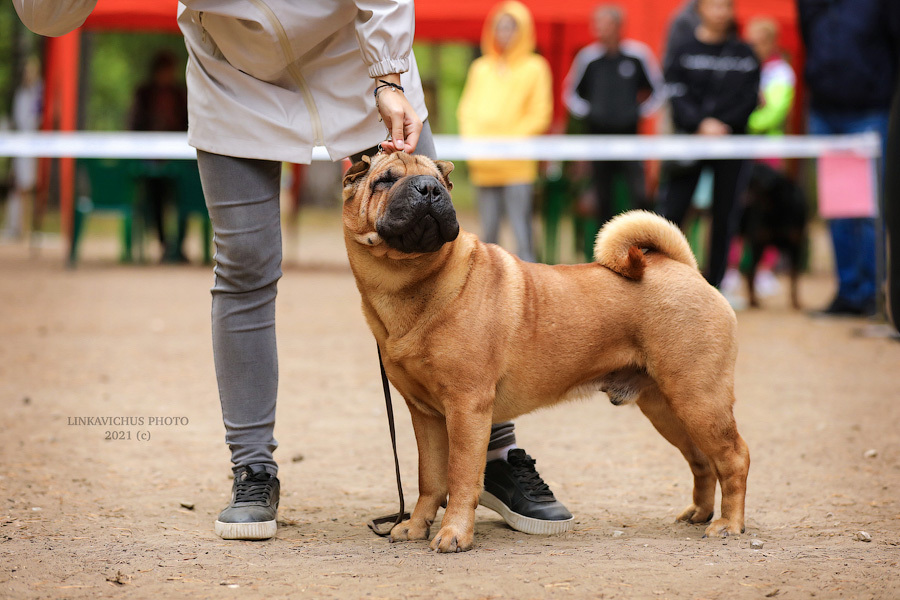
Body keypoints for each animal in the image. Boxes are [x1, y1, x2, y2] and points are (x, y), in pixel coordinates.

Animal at [342, 151, 748, 552]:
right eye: (385, 180)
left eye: (441, 183)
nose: (428, 188)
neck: (412, 280)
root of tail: (685, 268)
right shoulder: (425, 414)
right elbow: (430, 478)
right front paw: (415, 526)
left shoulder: (466, 406)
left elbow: (460, 476)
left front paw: (454, 533)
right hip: (668, 407)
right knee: (702, 461)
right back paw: (698, 513)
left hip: (698, 399)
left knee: (734, 458)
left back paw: (728, 525)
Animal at [740, 162, 808, 310]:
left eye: (751, 177)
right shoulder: (758, 242)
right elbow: (752, 273)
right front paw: (754, 300)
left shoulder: (796, 246)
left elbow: (794, 278)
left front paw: (797, 303)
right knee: (750, 271)